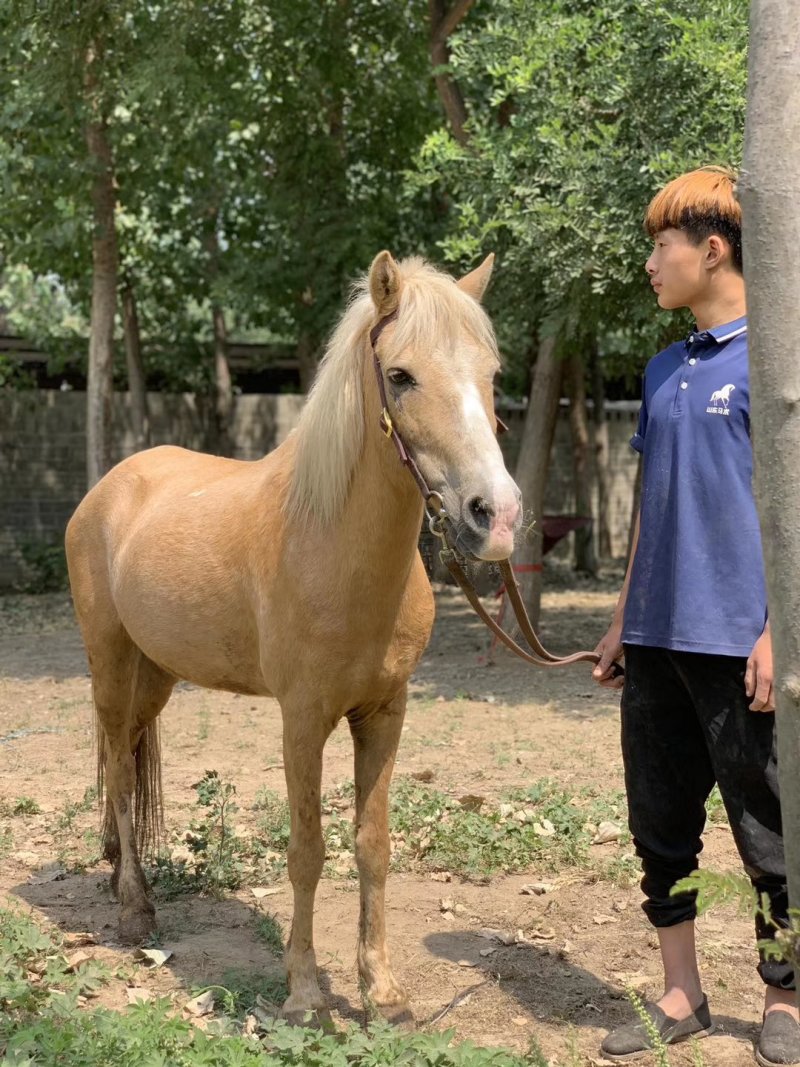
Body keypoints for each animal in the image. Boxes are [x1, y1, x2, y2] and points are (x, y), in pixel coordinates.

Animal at [65, 250, 522, 1025]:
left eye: (490, 372)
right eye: (401, 375)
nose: (495, 515)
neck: (329, 542)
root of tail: (107, 489)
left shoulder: (385, 713)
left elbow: (372, 846)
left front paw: (382, 992)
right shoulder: (302, 719)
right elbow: (307, 849)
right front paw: (306, 992)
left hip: (156, 675)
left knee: (124, 761)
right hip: (109, 663)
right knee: (120, 774)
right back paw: (133, 910)